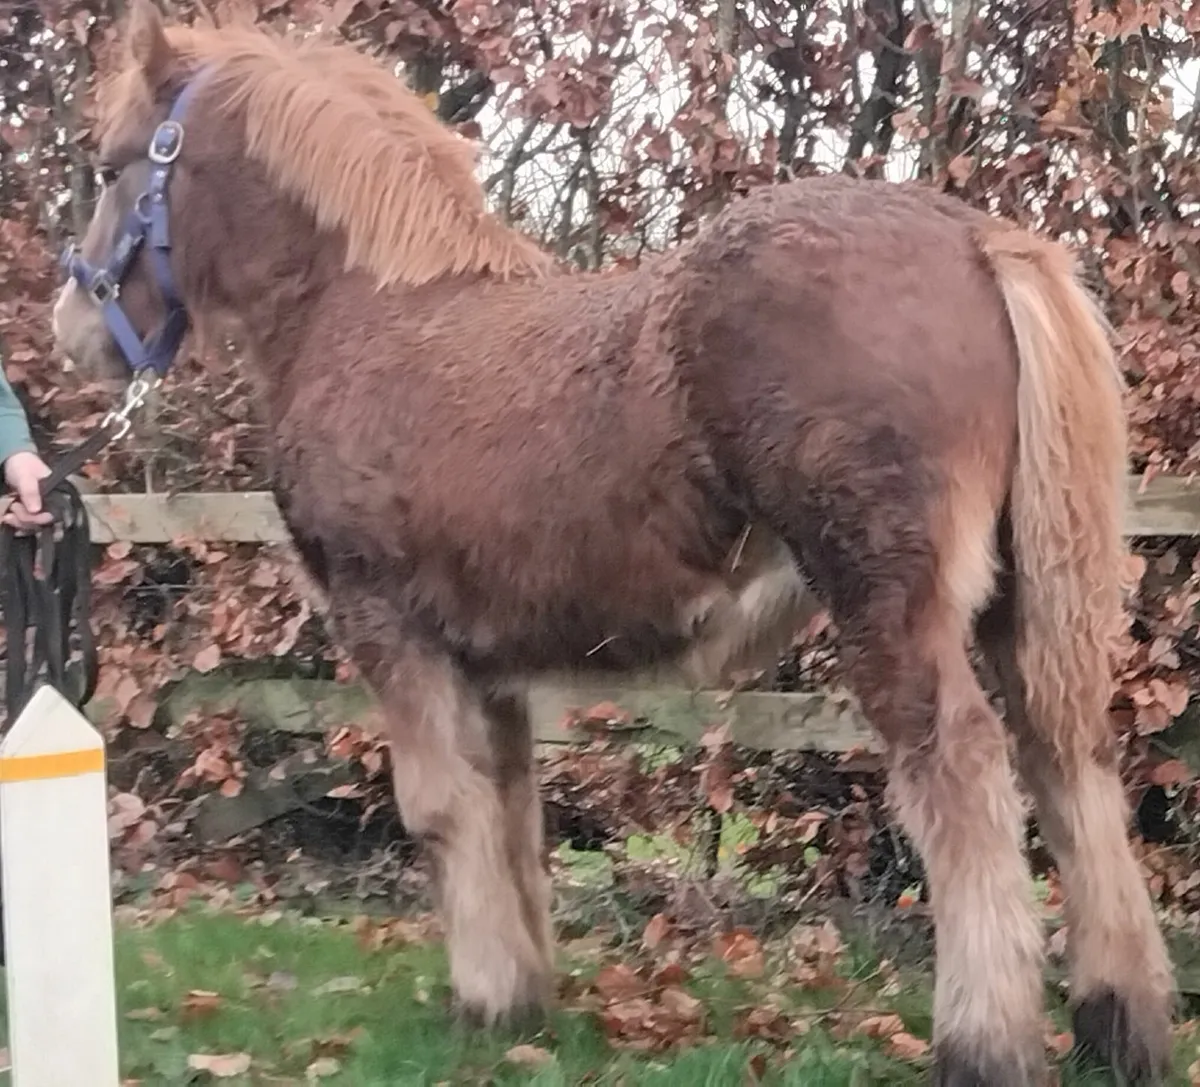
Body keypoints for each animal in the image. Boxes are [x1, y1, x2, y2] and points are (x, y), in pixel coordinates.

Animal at [51, 3, 1174, 1082]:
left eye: (108, 165)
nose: (72, 328)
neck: (362, 310)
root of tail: (980, 240)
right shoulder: (489, 662)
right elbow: (509, 813)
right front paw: (521, 1004)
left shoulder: (386, 627)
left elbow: (437, 810)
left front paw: (480, 999)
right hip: (1020, 601)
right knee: (1068, 758)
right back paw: (1118, 1024)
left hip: (892, 601)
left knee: (964, 771)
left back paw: (985, 1045)